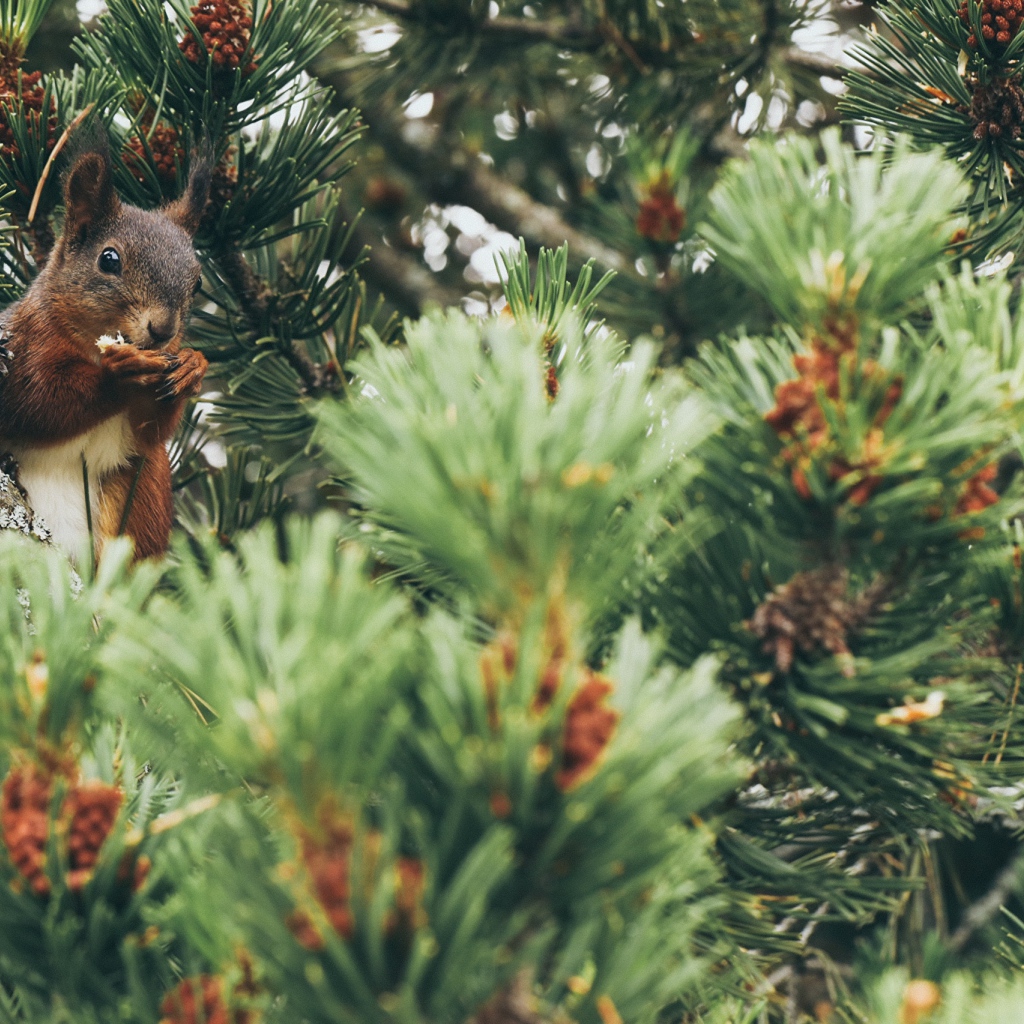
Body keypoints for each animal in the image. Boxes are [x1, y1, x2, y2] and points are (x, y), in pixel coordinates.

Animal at [0, 146, 211, 561]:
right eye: (109, 259)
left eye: (197, 282)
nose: (164, 331)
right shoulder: (23, 348)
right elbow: (37, 403)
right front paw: (117, 375)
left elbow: (150, 430)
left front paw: (192, 367)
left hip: (141, 492)